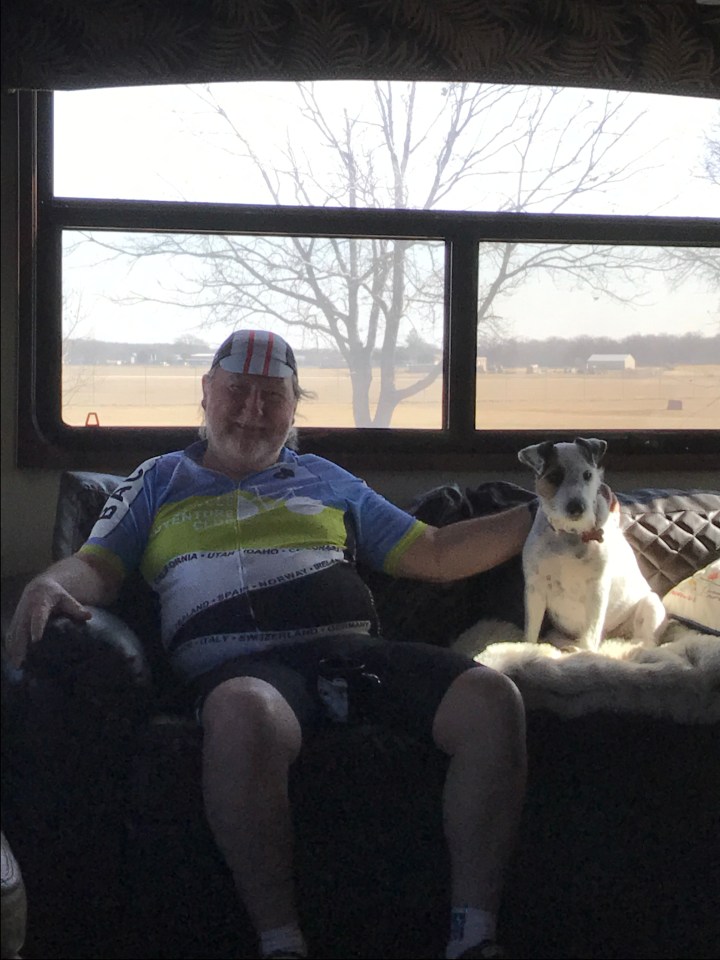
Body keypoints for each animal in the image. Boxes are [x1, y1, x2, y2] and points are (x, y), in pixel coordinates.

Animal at [518, 437, 667, 652]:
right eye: (554, 476)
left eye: (587, 475)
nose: (577, 507)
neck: (569, 535)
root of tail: (613, 635)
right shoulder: (535, 588)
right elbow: (531, 631)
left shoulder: (597, 589)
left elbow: (591, 630)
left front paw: (586, 653)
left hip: (651, 605)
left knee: (646, 640)